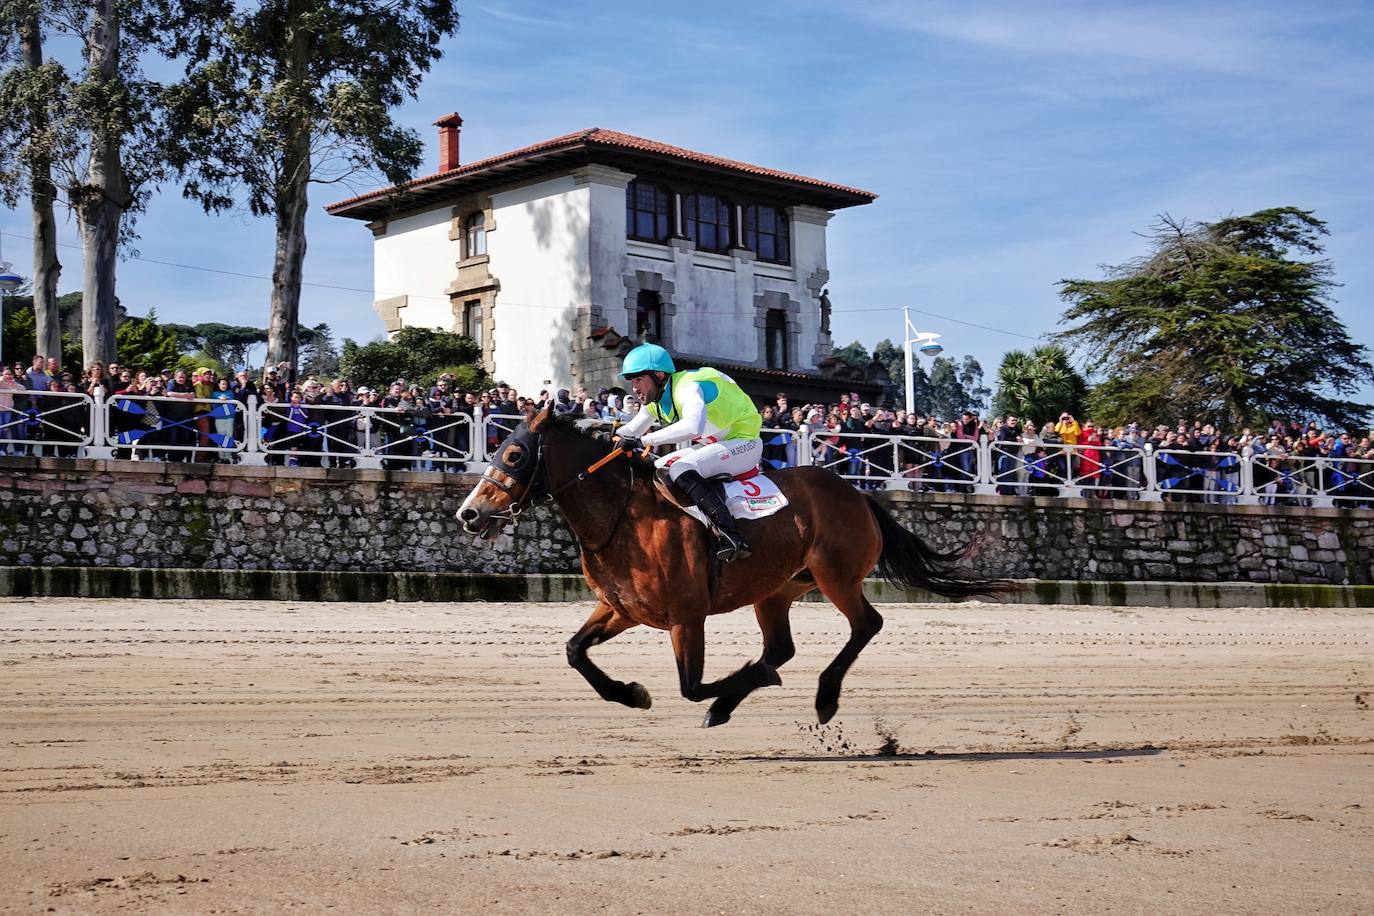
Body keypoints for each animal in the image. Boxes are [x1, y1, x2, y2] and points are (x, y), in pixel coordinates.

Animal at [456, 409, 1005, 730]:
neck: (622, 515)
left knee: (866, 624)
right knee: (782, 647)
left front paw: (730, 689)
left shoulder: (686, 616)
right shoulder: (623, 608)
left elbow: (691, 686)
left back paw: (823, 697)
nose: (470, 514)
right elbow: (575, 652)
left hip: (837, 576)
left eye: (514, 452)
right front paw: (631, 694)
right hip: (776, 590)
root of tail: (858, 495)